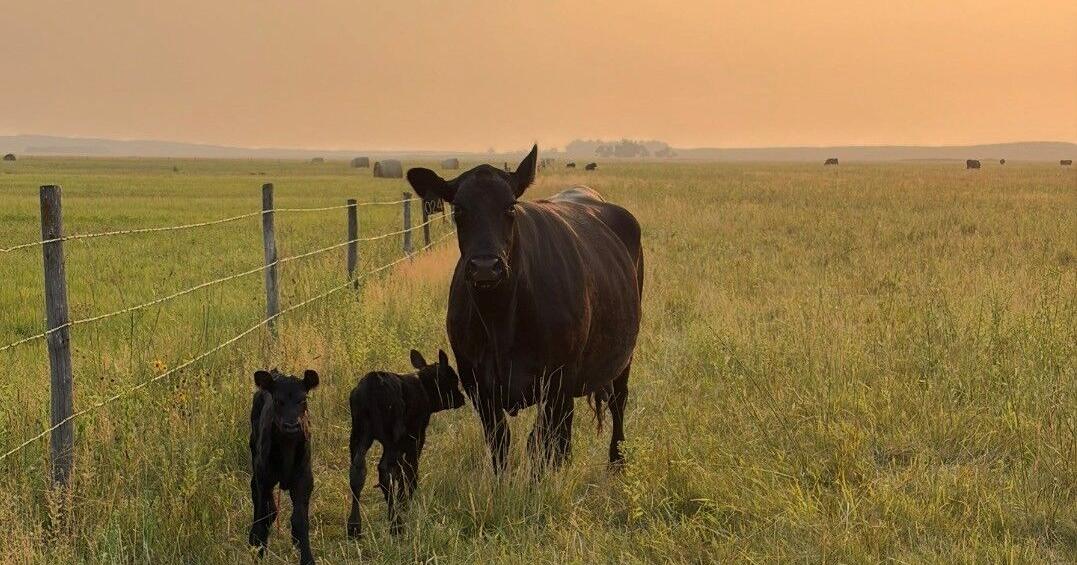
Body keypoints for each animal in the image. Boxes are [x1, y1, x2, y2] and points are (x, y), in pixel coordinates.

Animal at [249, 369, 320, 565]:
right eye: (277, 400)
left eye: (303, 399)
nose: (291, 425)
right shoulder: (264, 476)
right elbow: (263, 515)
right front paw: (259, 550)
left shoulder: (304, 478)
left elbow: (300, 520)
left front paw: (307, 557)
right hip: (254, 454)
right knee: (257, 496)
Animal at [347, 350, 464, 537]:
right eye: (453, 379)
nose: (462, 398)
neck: (424, 388)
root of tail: (374, 382)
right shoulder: (416, 438)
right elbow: (410, 471)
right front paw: (406, 502)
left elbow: (401, 471)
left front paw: (402, 500)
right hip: (392, 438)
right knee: (384, 470)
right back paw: (396, 524)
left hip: (359, 435)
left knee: (357, 471)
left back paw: (354, 526)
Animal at [406, 145, 643, 475]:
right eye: (459, 210)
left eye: (510, 207)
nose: (485, 267)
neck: (500, 320)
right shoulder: (477, 383)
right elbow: (501, 442)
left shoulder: (556, 380)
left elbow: (541, 444)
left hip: (623, 356)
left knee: (617, 401)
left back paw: (617, 462)